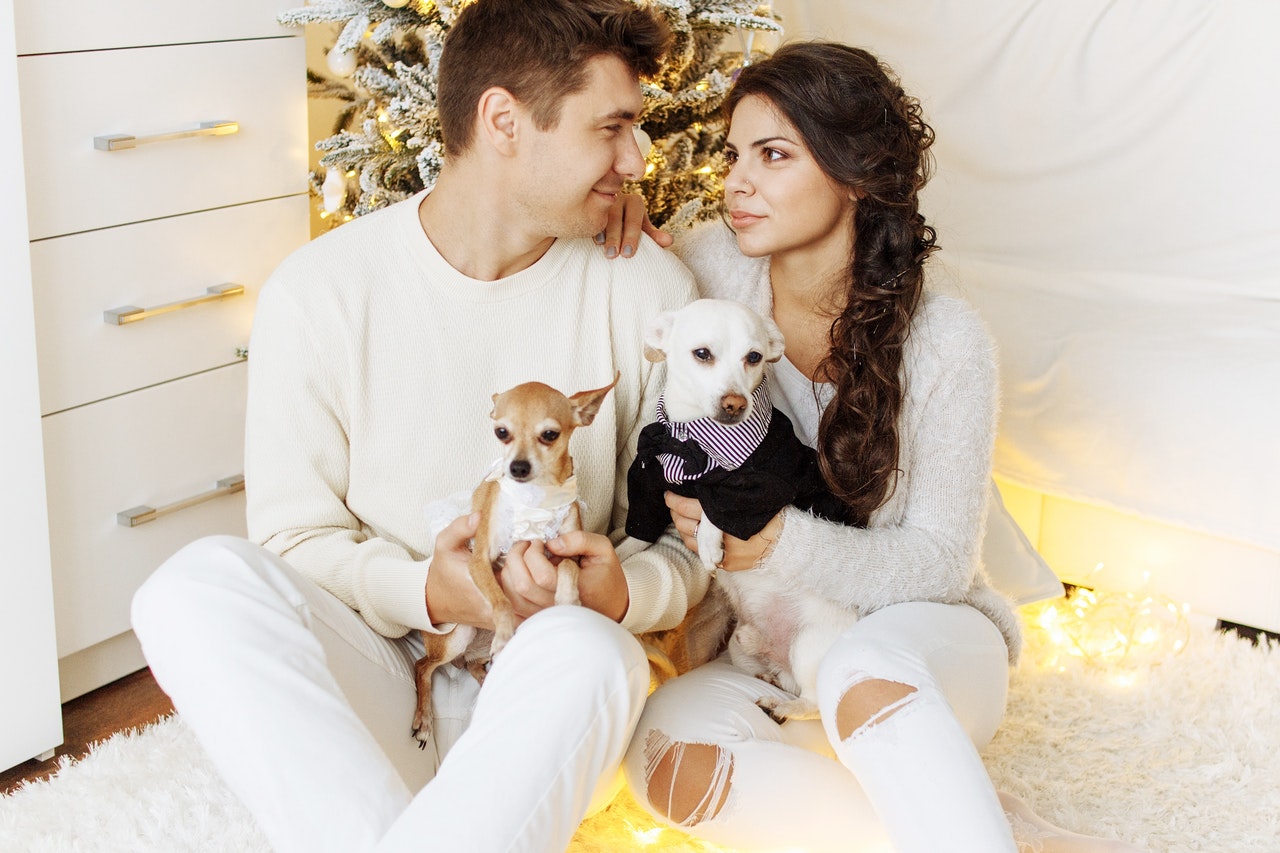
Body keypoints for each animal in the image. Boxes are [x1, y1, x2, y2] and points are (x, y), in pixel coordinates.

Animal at [624, 298, 855, 717]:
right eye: (702, 354)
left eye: (754, 357)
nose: (735, 403)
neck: (691, 439)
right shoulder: (648, 478)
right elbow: (636, 534)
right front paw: (614, 554)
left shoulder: (761, 486)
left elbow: (717, 505)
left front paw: (708, 541)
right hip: (739, 644)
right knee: (775, 672)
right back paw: (769, 679)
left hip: (809, 644)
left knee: (814, 702)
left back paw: (783, 707)